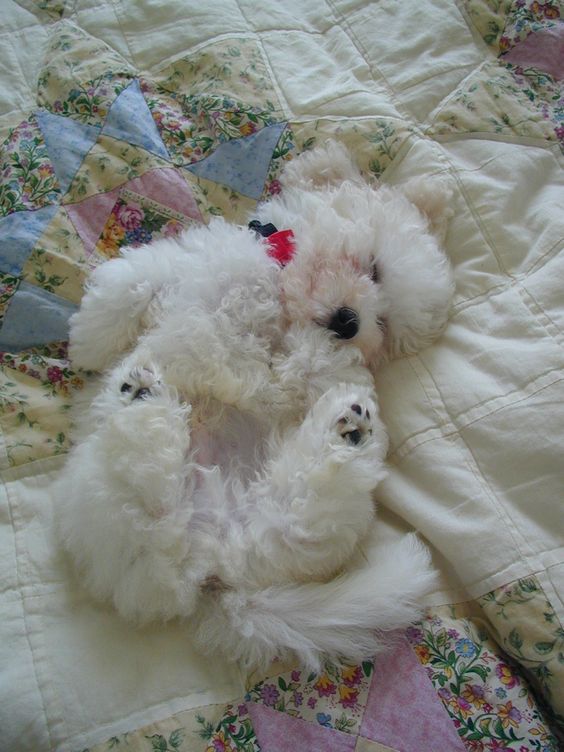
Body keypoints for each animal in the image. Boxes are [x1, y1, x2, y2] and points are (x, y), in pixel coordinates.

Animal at [57, 141, 454, 668]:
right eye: (373, 268)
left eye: (385, 326)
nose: (351, 323)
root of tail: (213, 566)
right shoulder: (194, 265)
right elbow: (135, 282)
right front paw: (90, 341)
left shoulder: (298, 361)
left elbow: (273, 367)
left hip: (233, 529)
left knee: (176, 505)